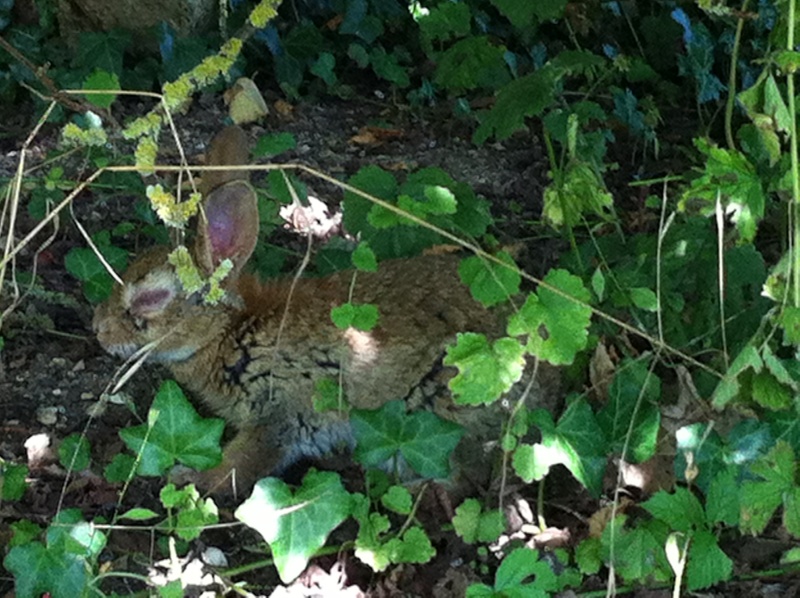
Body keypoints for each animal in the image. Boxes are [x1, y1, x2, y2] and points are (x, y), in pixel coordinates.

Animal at [94, 126, 516, 496]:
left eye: (150, 299)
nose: (99, 329)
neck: (229, 332)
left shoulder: (281, 414)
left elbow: (241, 465)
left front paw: (192, 478)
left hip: (443, 400)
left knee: (465, 476)